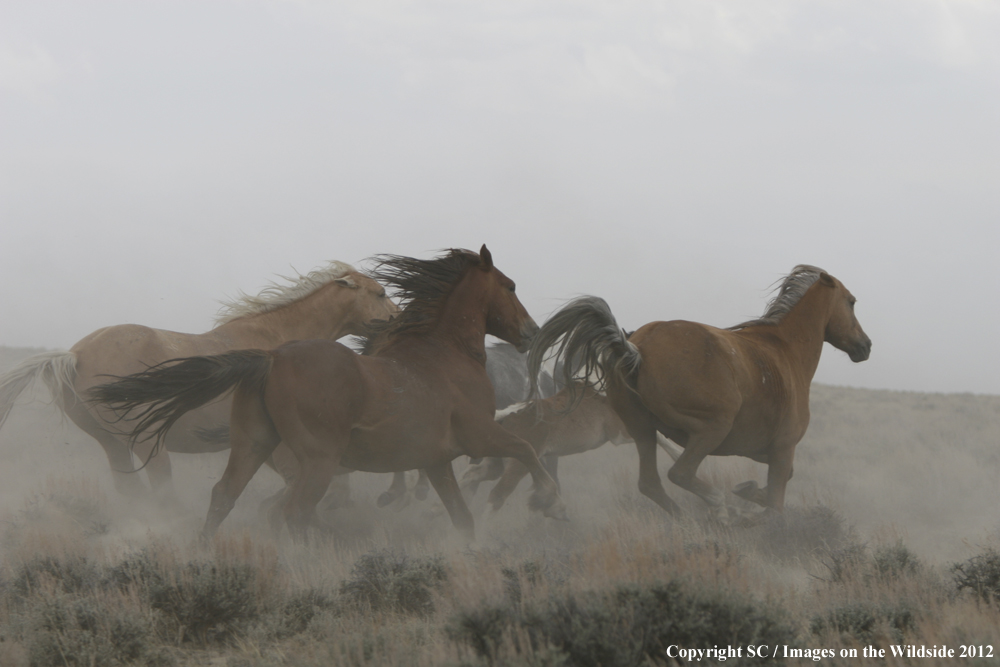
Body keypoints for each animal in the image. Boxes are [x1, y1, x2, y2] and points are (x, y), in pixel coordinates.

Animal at [0, 261, 398, 499]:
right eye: (380, 293)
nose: (401, 320)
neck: (278, 339)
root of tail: (76, 355)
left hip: (112, 444)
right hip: (148, 441)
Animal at [91, 246, 566, 540]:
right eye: (510, 286)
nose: (531, 332)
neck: (443, 353)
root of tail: (271, 359)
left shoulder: (435, 459)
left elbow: (463, 517)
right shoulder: (478, 435)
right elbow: (526, 449)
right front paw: (546, 500)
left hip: (254, 444)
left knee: (225, 497)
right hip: (318, 459)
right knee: (293, 511)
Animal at [526, 265, 871, 517]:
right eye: (852, 302)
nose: (865, 346)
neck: (784, 350)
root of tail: (637, 349)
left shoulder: (759, 449)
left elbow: (781, 481)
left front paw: (748, 491)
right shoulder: (783, 448)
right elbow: (776, 502)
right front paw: (750, 505)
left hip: (643, 430)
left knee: (650, 484)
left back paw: (688, 521)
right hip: (710, 428)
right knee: (680, 474)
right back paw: (722, 509)